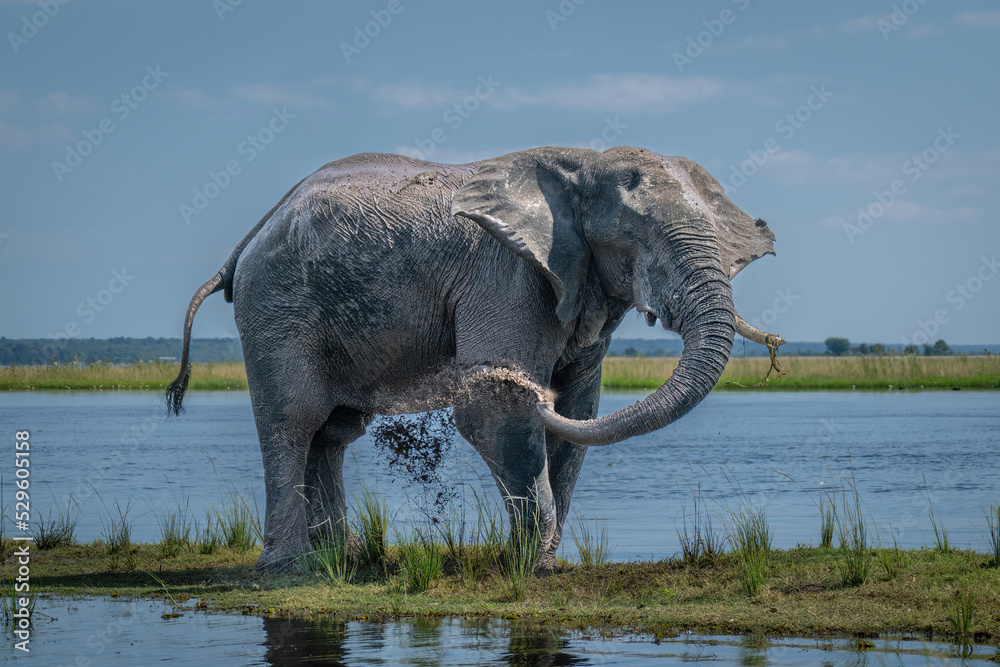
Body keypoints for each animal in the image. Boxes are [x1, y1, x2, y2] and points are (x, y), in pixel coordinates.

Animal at [166, 146, 783, 573]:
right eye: (634, 235)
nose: (531, 388)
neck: (582, 164)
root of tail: (246, 243)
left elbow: (578, 413)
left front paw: (545, 561)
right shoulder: (505, 277)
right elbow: (494, 413)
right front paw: (530, 566)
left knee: (333, 431)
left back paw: (340, 560)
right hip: (278, 306)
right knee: (293, 421)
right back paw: (290, 568)